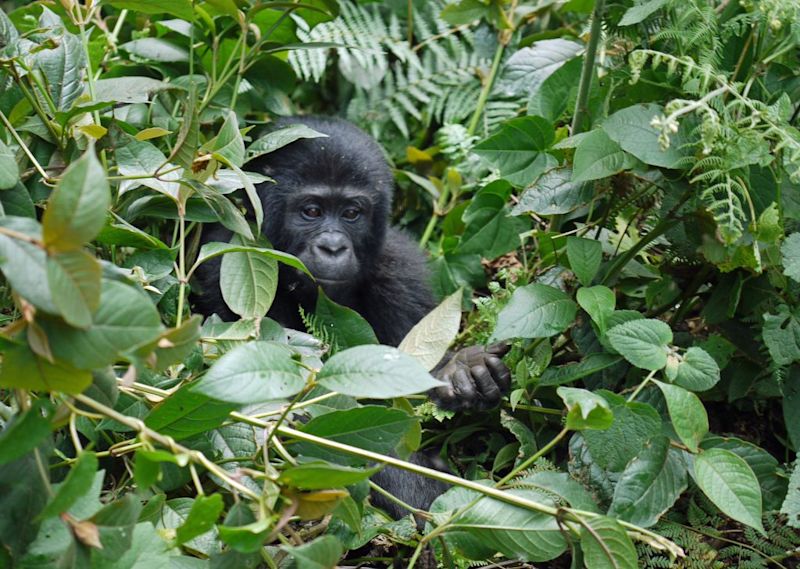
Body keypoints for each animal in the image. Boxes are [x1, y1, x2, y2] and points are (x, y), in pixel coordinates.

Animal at [191, 117, 510, 516]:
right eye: (311, 211)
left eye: (351, 214)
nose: (333, 247)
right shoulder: (228, 260)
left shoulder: (400, 268)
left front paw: (461, 369)